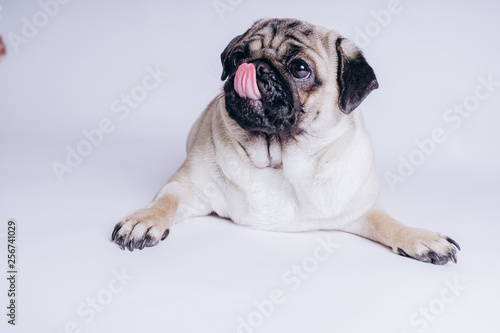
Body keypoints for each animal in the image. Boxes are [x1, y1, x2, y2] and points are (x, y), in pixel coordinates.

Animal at [111, 18, 458, 264]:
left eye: (300, 69)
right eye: (236, 57)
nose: (254, 66)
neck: (277, 158)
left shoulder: (360, 210)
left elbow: (388, 222)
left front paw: (418, 237)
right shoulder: (186, 187)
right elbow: (165, 202)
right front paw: (144, 220)